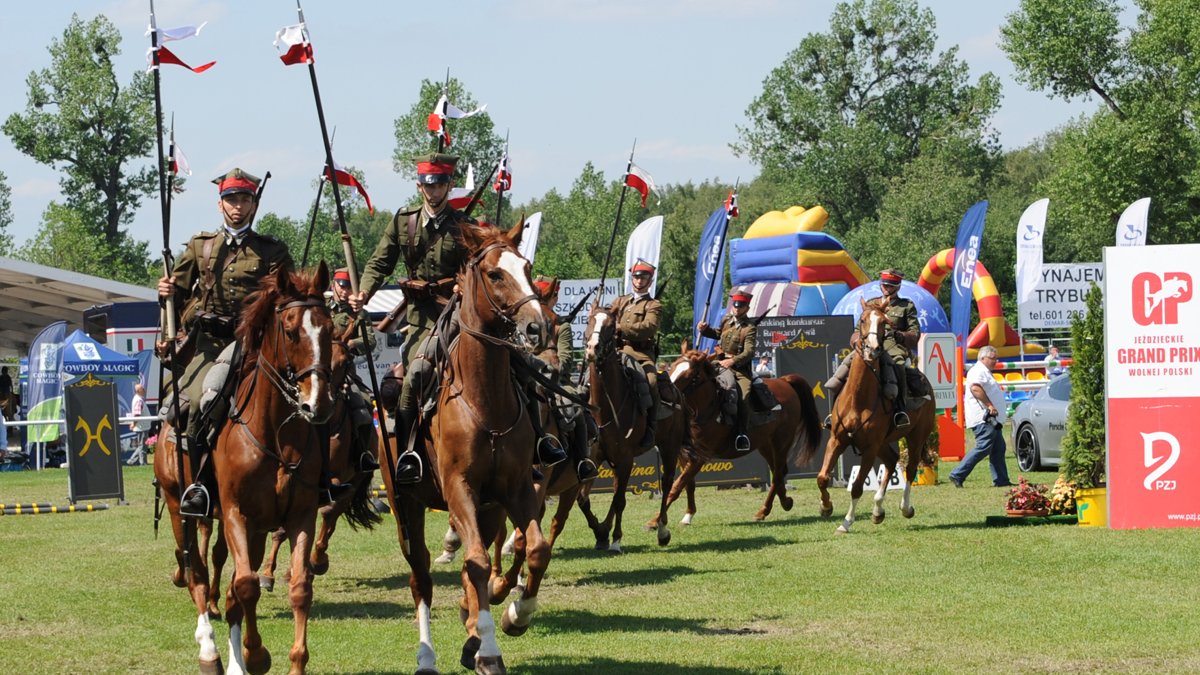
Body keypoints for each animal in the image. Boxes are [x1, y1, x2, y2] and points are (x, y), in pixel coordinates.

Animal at [379, 219, 552, 672]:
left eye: (528, 268)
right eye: (495, 274)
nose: (537, 328)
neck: (484, 398)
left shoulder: (515, 490)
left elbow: (536, 549)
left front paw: (514, 616)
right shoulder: (459, 490)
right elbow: (474, 560)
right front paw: (490, 648)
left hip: (488, 510)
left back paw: (473, 633)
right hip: (406, 507)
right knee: (421, 576)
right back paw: (428, 656)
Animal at [578, 307, 686, 550]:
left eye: (611, 326)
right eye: (589, 321)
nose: (592, 349)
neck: (606, 408)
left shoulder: (626, 458)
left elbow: (619, 500)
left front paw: (616, 539)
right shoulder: (595, 456)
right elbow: (583, 499)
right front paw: (601, 533)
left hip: (669, 446)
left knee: (667, 482)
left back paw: (662, 531)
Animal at [667, 348, 825, 523]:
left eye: (689, 375)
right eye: (672, 368)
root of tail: (784, 381)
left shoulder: (700, 457)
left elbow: (677, 485)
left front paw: (657, 520)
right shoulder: (686, 455)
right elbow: (688, 483)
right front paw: (688, 515)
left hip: (782, 441)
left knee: (777, 475)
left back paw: (765, 510)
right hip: (765, 444)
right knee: (780, 472)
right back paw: (783, 502)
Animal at [801, 296, 940, 533]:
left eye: (885, 322)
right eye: (863, 320)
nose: (873, 349)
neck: (858, 398)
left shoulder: (869, 448)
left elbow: (857, 486)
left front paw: (846, 522)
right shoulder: (837, 440)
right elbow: (821, 477)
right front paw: (826, 507)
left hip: (916, 437)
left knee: (911, 468)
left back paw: (905, 508)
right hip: (883, 443)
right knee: (892, 461)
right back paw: (877, 511)